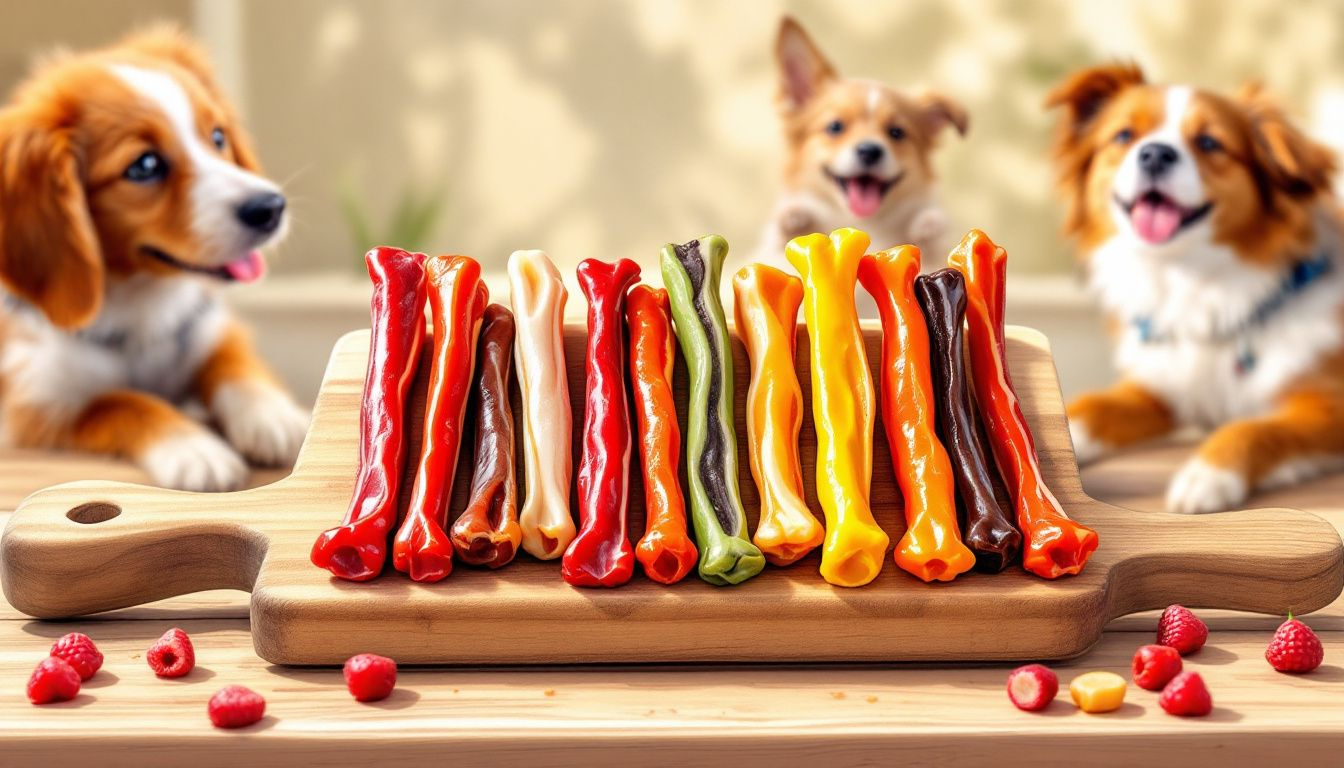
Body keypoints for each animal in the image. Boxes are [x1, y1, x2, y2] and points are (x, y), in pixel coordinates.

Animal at [0, 28, 307, 492]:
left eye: (218, 137)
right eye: (144, 166)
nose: (271, 207)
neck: (140, 307)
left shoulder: (209, 327)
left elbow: (235, 363)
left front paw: (274, 417)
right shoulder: (33, 405)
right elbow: (121, 401)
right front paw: (193, 448)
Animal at [758, 15, 967, 267]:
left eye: (896, 132)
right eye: (835, 127)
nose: (870, 150)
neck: (863, 223)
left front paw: (930, 223)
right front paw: (792, 217)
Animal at [1048, 63, 1344, 513]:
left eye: (1209, 142)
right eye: (1124, 135)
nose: (1155, 153)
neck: (1196, 284)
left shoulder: (1328, 405)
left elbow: (1255, 429)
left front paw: (1208, 474)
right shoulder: (1158, 387)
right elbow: (1087, 406)